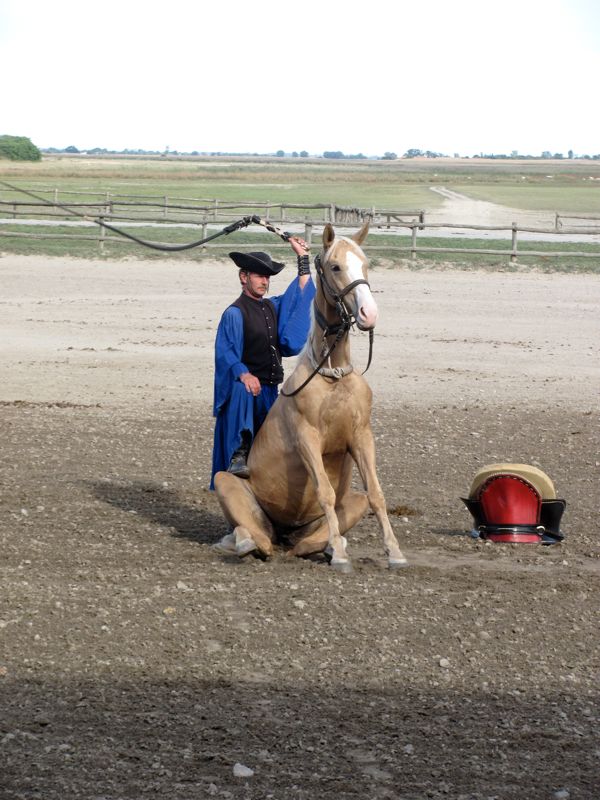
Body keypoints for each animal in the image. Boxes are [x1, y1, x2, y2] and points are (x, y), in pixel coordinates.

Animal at [212, 220, 408, 568]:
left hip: (337, 511)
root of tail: (283, 534)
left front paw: (394, 552)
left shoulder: (362, 436)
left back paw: (329, 544)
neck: (333, 376)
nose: (368, 314)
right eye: (335, 266)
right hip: (227, 484)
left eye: (365, 264)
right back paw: (245, 541)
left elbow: (376, 493)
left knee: (304, 543)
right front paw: (342, 558)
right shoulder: (307, 438)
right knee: (256, 538)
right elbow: (325, 492)